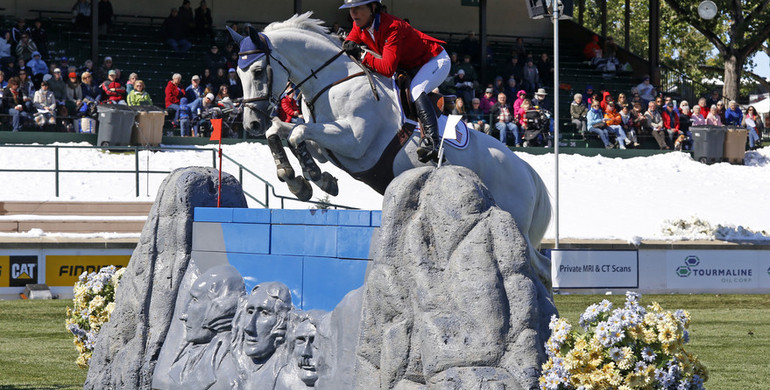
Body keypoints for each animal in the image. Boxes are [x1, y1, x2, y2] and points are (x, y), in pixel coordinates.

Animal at [231, 13, 548, 284]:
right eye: (237, 73)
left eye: (258, 71)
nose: (251, 123)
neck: (333, 82)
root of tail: (528, 171)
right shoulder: (327, 146)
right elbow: (283, 133)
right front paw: (299, 180)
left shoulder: (353, 142)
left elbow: (297, 133)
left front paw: (316, 180)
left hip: (513, 221)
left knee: (536, 267)